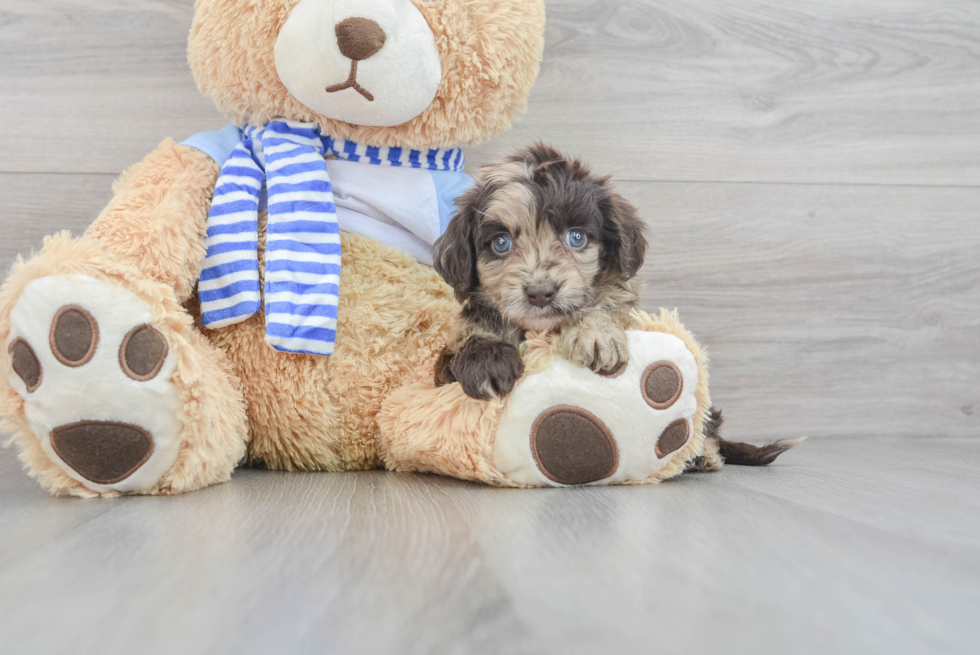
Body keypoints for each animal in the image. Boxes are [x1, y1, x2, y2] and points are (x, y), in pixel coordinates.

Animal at [432, 144, 648, 400]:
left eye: (577, 237)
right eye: (501, 243)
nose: (540, 293)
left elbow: (603, 305)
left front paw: (595, 332)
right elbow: (474, 330)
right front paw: (486, 360)